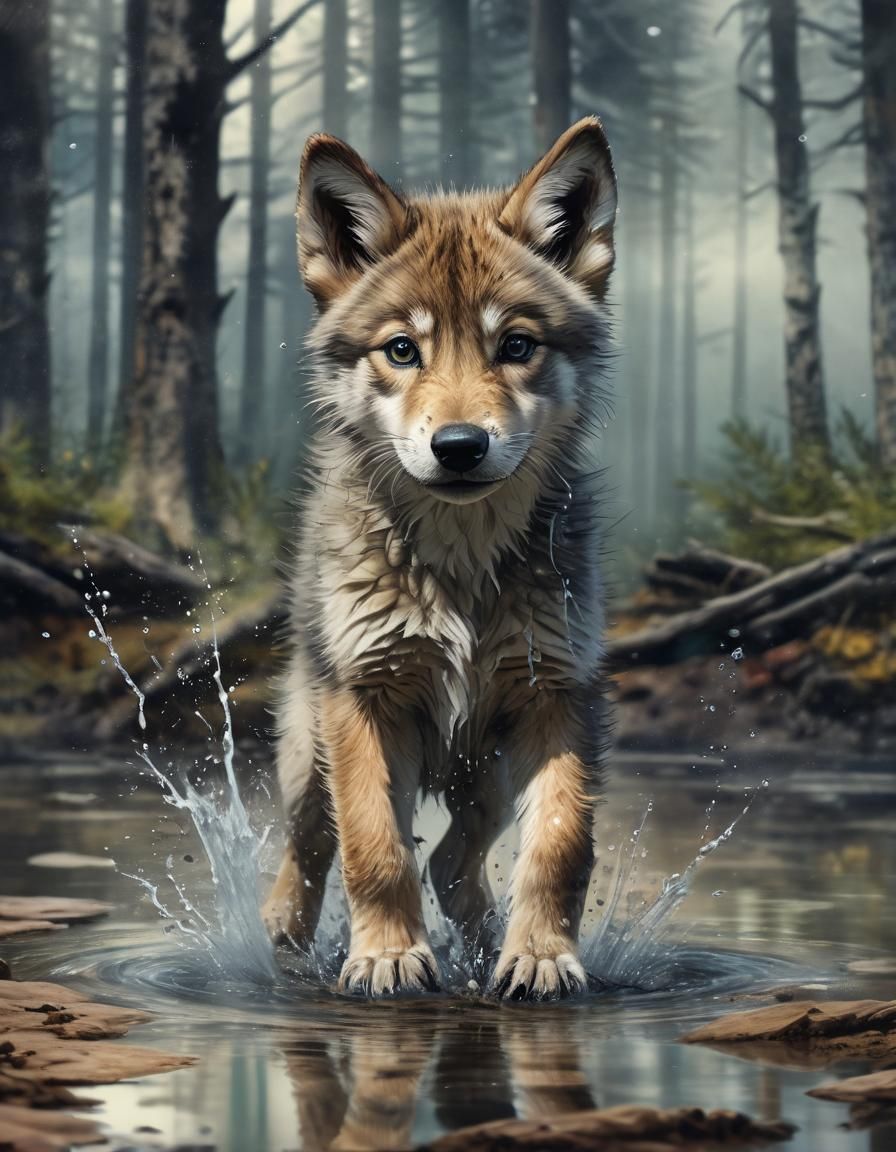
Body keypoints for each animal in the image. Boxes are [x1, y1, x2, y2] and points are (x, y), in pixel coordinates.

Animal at [262, 117, 617, 1000]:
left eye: (516, 345)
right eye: (401, 350)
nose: (459, 447)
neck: (461, 565)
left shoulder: (558, 696)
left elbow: (560, 844)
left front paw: (539, 957)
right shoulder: (364, 699)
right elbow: (374, 847)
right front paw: (387, 958)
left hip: (481, 769)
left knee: (458, 858)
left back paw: (486, 938)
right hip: (308, 752)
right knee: (309, 845)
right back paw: (284, 937)